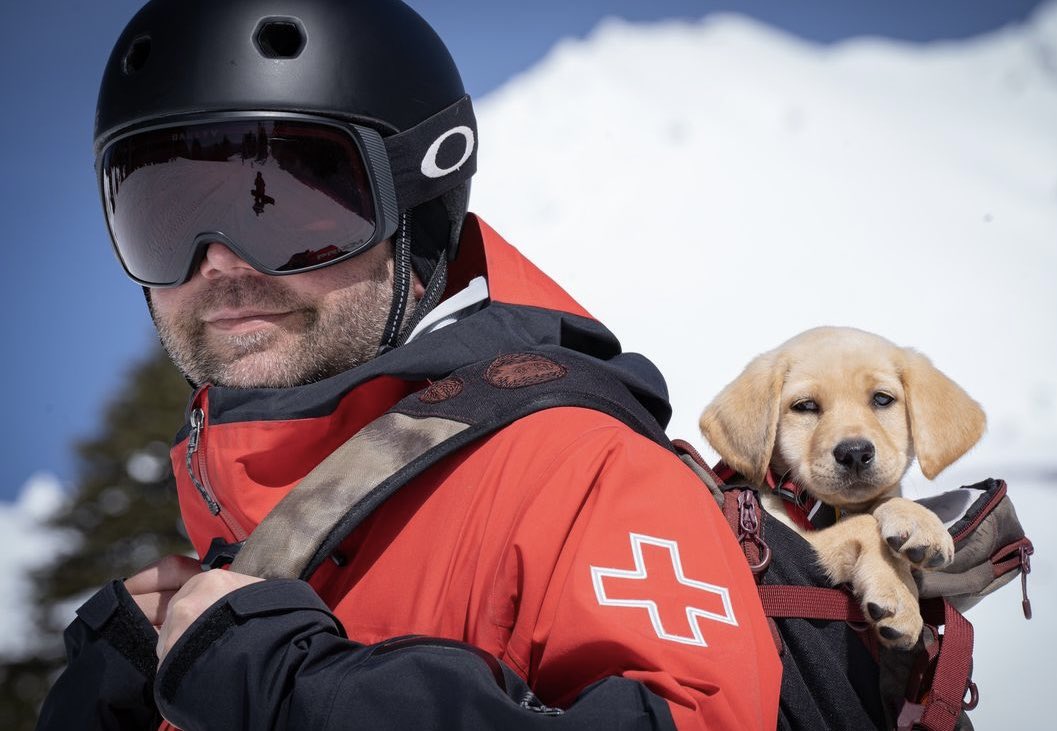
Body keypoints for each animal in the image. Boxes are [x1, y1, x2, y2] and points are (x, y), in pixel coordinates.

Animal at [701, 327, 980, 646]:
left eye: (882, 399)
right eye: (806, 406)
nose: (854, 453)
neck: (827, 508)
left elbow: (882, 501)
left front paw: (919, 521)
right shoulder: (800, 543)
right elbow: (863, 524)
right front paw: (899, 594)